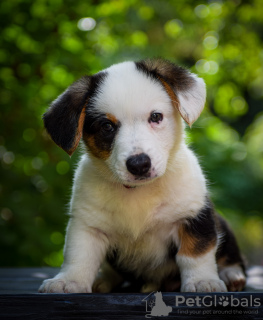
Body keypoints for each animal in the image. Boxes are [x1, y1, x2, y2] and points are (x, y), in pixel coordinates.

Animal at [38, 58, 246, 292]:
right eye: (107, 126)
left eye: (156, 116)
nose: (139, 165)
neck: (139, 191)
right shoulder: (87, 226)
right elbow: (79, 256)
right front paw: (68, 281)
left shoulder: (194, 216)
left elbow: (195, 254)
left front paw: (203, 281)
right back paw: (104, 280)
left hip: (223, 226)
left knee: (231, 256)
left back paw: (231, 274)